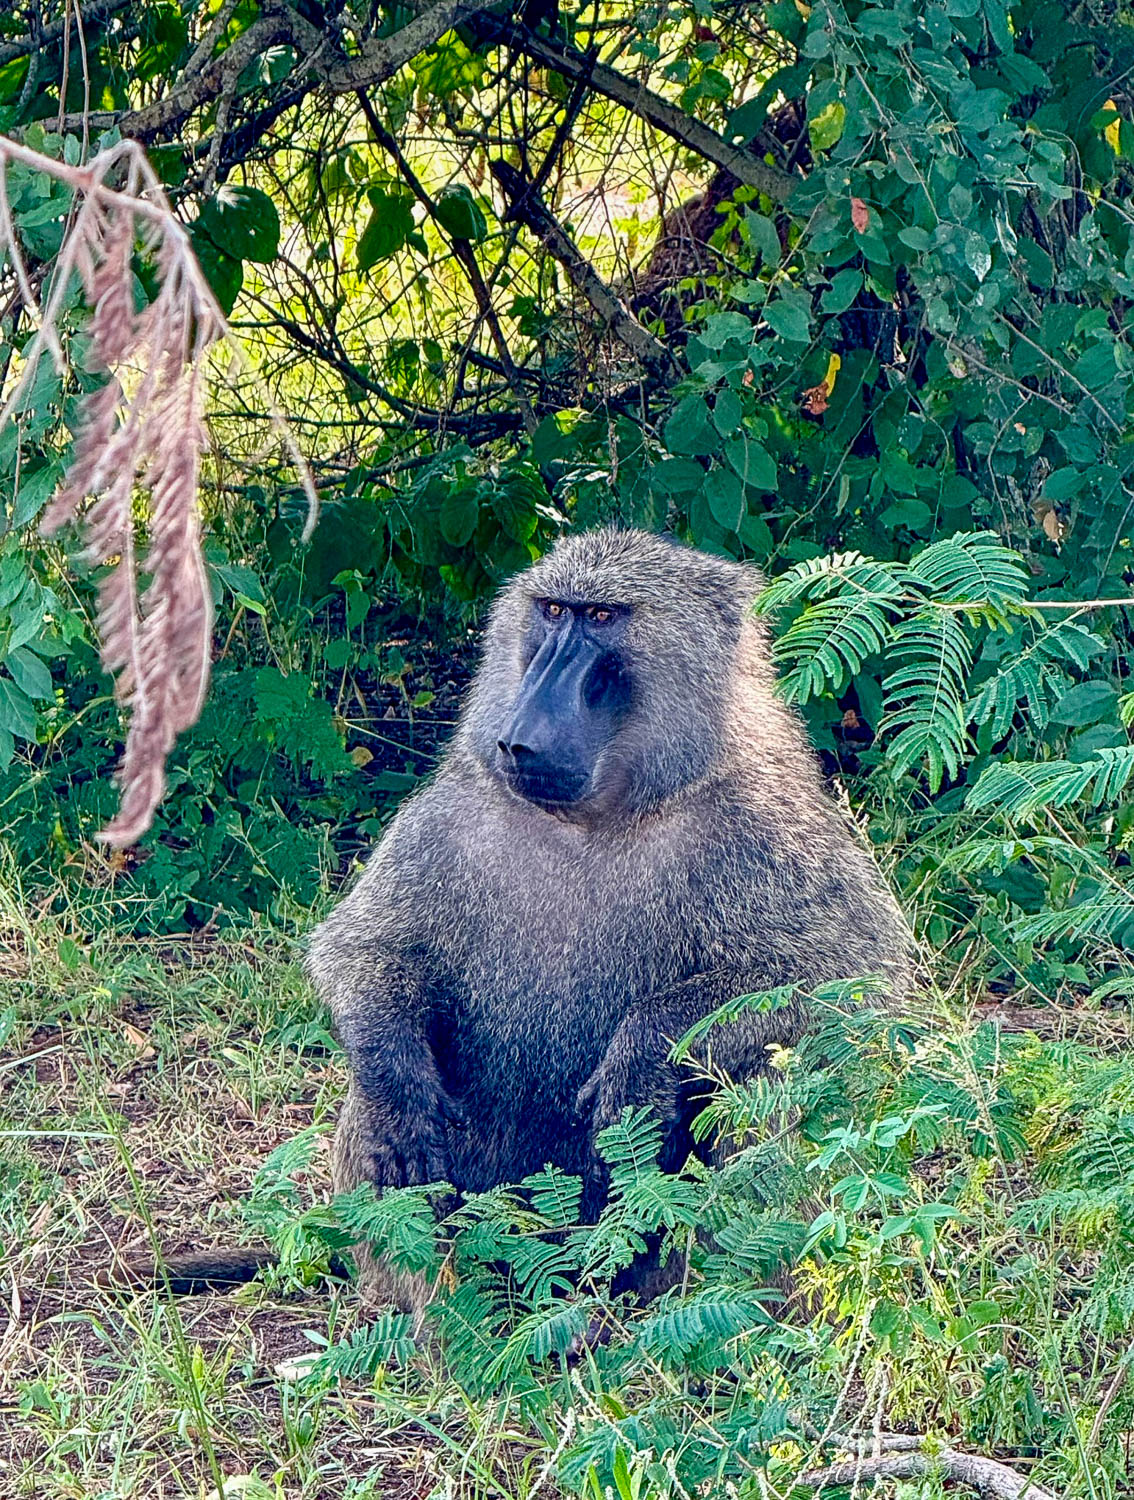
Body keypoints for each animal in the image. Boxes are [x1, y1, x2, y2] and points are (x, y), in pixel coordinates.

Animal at [304, 526, 912, 1311]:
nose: (521, 737)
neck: (595, 818)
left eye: (601, 618)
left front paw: (640, 1055)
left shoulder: (765, 821)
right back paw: (440, 1313)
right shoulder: (452, 812)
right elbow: (364, 947)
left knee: (772, 1066)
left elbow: (845, 973)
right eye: (552, 610)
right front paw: (395, 1079)